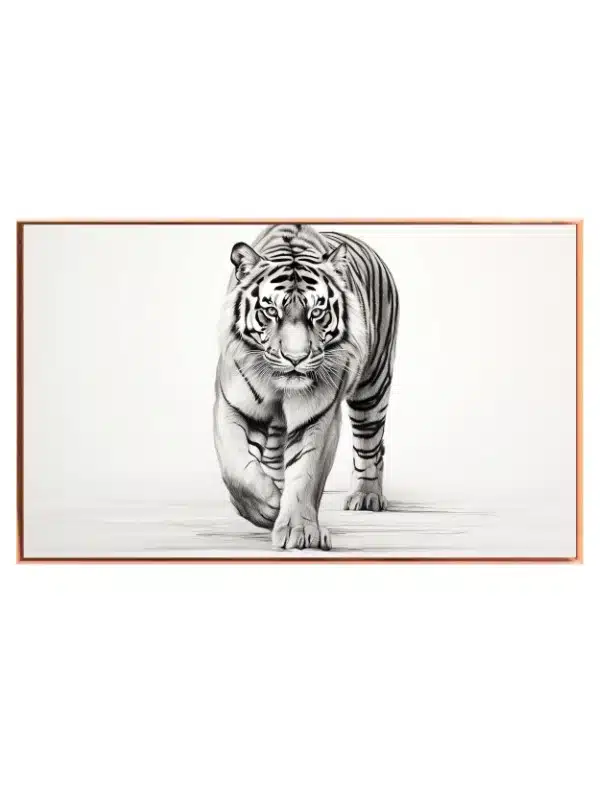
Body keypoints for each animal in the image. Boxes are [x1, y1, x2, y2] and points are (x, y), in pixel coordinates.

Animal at [213, 223, 399, 550]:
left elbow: (306, 473)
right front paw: (267, 506)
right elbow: (236, 468)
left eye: (317, 313)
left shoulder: (318, 416)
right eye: (270, 312)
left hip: (372, 387)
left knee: (370, 444)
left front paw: (298, 531)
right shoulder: (232, 406)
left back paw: (366, 496)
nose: (296, 358)